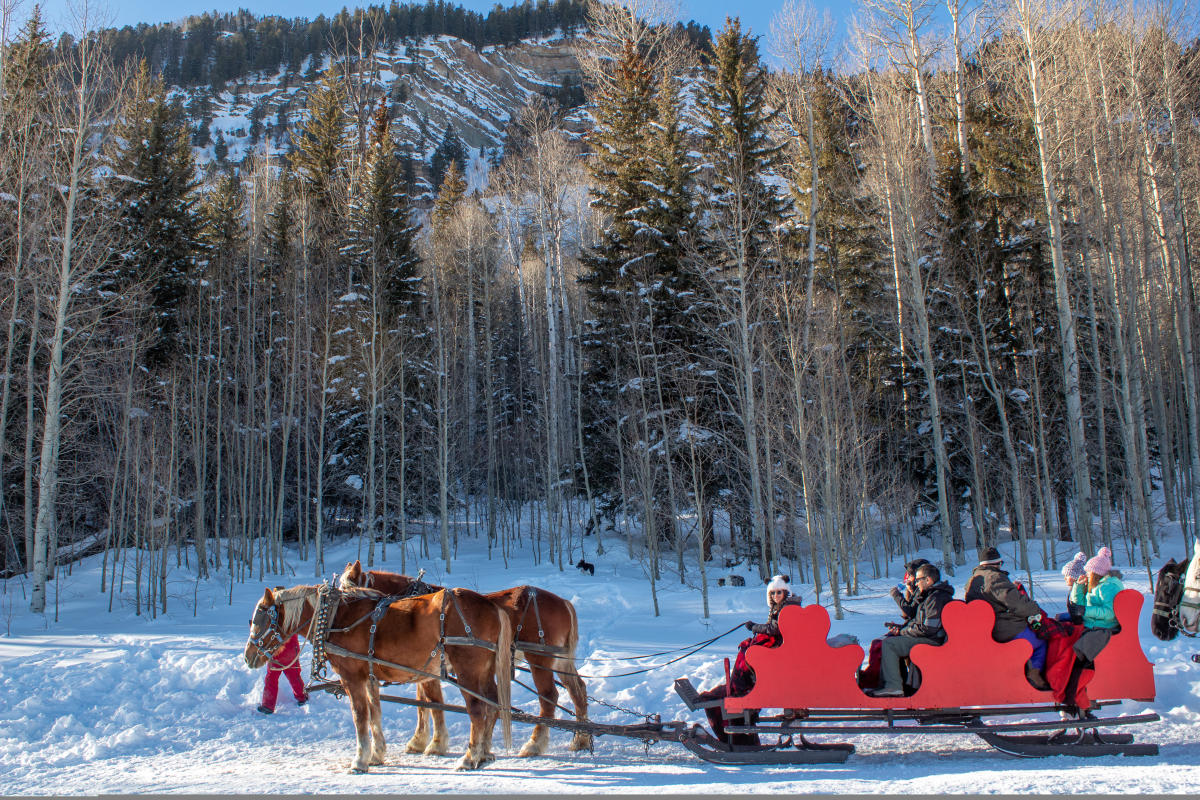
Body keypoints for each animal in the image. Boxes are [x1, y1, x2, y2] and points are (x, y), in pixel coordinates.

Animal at [243, 585, 511, 772]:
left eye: (259, 620)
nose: (248, 656)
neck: (336, 618)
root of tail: (491, 605)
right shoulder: (369, 678)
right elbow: (374, 714)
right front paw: (376, 755)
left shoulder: (352, 678)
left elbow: (360, 717)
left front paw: (359, 760)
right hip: (485, 671)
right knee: (493, 706)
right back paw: (484, 754)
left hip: (467, 671)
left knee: (477, 710)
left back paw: (469, 757)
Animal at [338, 563, 590, 758]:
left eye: (345, 594)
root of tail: (564, 602)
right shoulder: (421, 668)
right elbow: (423, 704)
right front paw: (419, 741)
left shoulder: (428, 668)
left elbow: (432, 702)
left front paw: (434, 744)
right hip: (560, 660)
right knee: (578, 690)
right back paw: (581, 739)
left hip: (540, 657)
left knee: (549, 697)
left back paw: (534, 744)